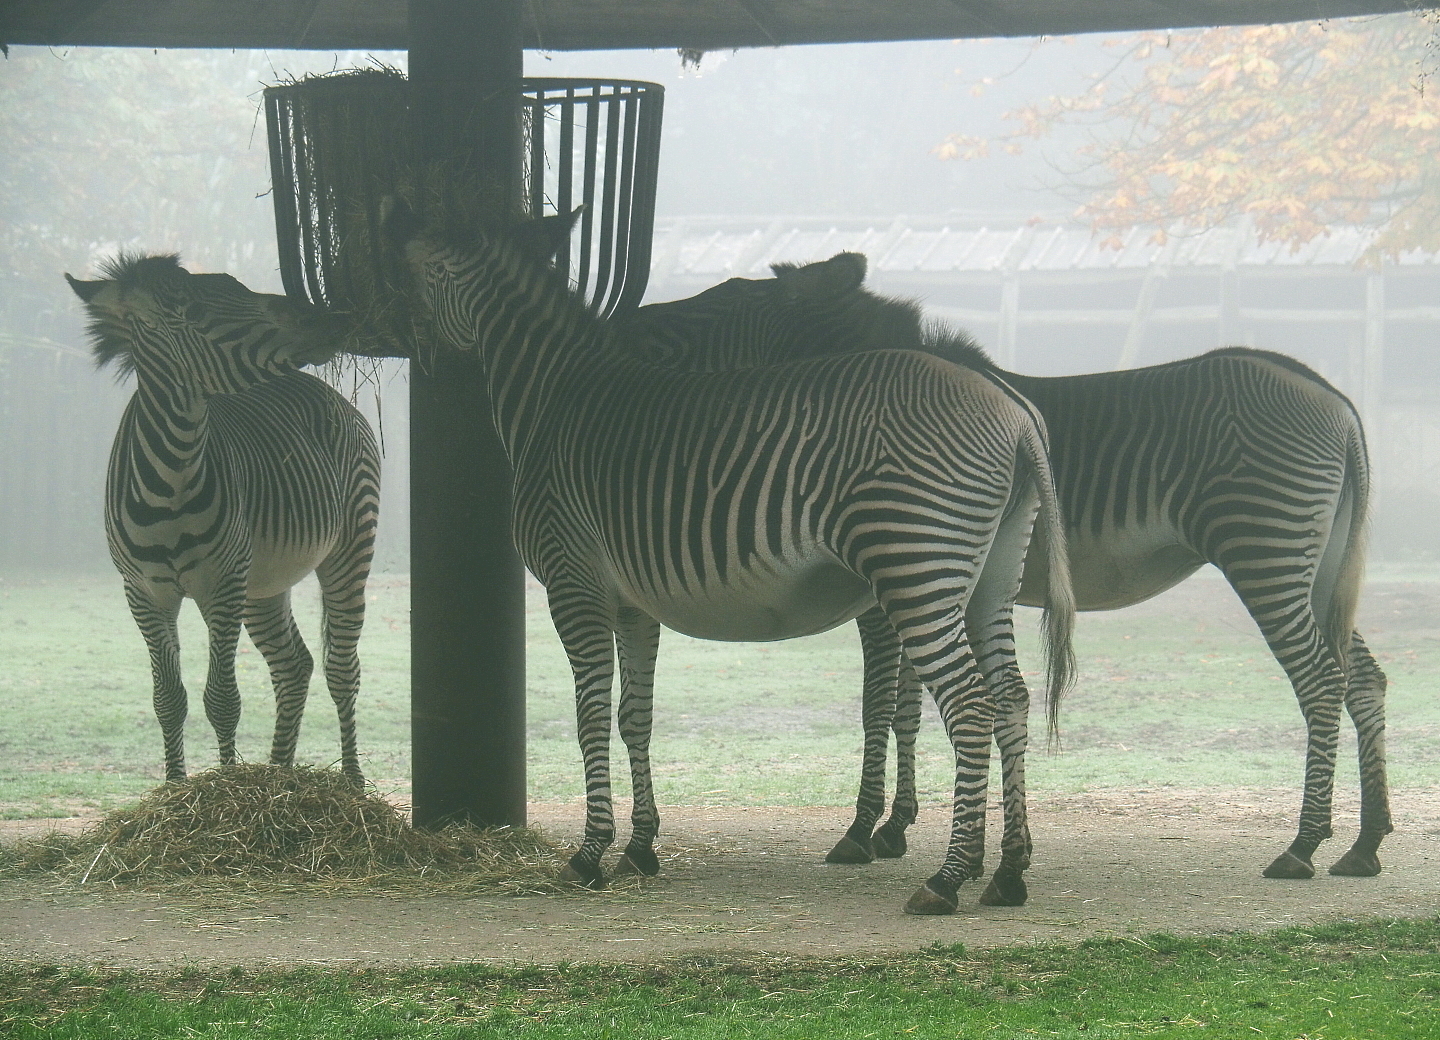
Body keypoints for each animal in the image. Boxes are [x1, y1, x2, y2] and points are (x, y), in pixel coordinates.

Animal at [66, 255, 380, 786]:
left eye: (239, 288)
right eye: (190, 311)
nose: (331, 320)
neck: (171, 477)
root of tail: (324, 391)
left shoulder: (223, 584)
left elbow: (223, 700)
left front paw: (228, 784)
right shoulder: (145, 593)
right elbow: (168, 699)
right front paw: (175, 790)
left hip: (349, 549)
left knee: (342, 668)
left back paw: (353, 785)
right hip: (264, 582)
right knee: (293, 666)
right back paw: (279, 773)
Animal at [389, 204, 1076, 915]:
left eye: (405, 275)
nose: (405, 349)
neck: (553, 397)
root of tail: (1014, 412)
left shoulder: (572, 580)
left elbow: (590, 715)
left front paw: (589, 853)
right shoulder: (633, 602)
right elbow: (634, 716)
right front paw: (641, 847)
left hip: (916, 567)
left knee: (971, 703)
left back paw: (947, 878)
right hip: (988, 577)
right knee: (1011, 697)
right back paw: (1007, 871)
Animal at [619, 252, 1389, 882]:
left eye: (720, 299)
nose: (629, 322)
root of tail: (1335, 399)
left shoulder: (882, 588)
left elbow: (879, 706)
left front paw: (863, 830)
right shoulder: (912, 579)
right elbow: (909, 709)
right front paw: (899, 827)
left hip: (1263, 548)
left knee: (1322, 680)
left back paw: (1302, 845)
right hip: (1314, 566)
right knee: (1365, 678)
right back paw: (1365, 842)